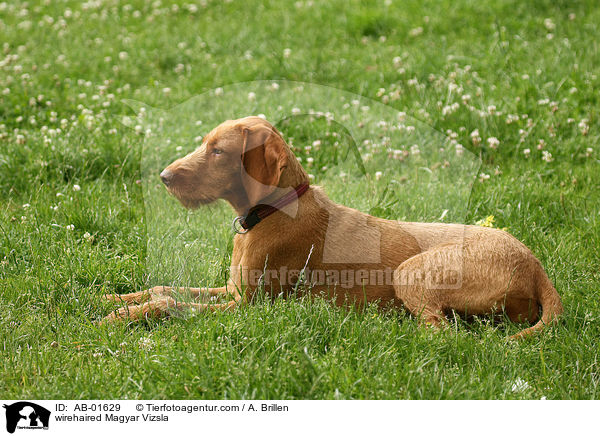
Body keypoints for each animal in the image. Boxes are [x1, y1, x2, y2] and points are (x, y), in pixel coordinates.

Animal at [104, 116, 564, 338]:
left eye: (218, 152)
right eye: (206, 145)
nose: (163, 177)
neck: (273, 211)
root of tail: (536, 265)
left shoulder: (248, 307)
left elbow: (169, 304)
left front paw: (121, 317)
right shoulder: (232, 291)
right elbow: (164, 288)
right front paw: (114, 297)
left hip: (411, 272)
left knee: (441, 332)